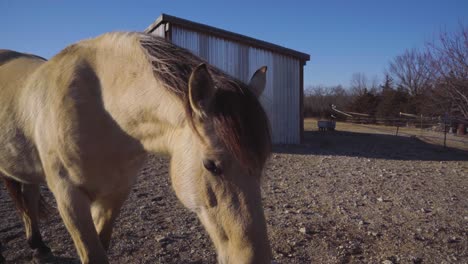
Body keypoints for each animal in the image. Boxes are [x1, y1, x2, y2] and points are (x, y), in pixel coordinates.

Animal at [0, 33, 272, 264]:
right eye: (211, 165)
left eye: (261, 166)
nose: (253, 259)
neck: (102, 108)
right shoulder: (68, 197)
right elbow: (93, 254)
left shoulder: (115, 194)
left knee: (29, 194)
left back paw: (39, 246)